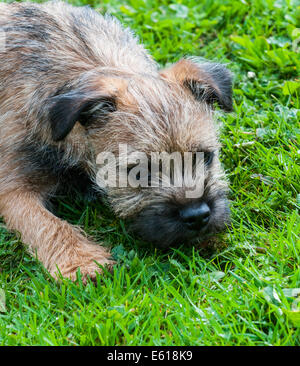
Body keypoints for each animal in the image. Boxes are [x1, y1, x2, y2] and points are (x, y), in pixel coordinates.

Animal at [0, 1, 232, 282]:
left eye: (206, 157)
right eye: (139, 172)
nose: (197, 216)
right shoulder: (13, 187)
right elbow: (44, 222)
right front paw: (82, 262)